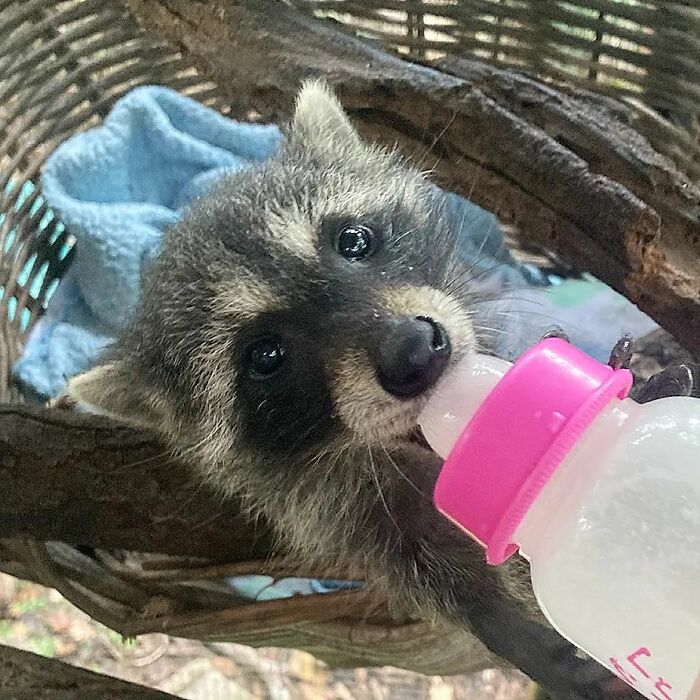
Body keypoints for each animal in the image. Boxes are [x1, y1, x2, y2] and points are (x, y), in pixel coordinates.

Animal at [69, 81, 640, 699]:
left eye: (353, 241)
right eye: (266, 356)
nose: (414, 352)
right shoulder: (339, 510)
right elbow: (427, 567)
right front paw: (506, 621)